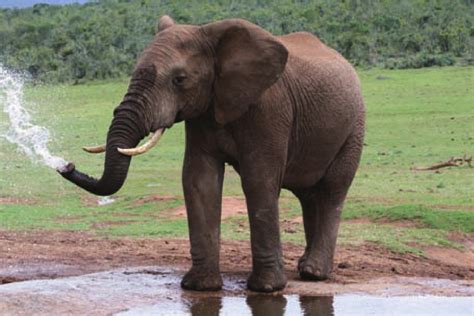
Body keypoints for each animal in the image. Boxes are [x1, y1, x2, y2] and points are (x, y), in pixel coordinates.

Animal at [57, 14, 364, 292]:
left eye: (179, 80)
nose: (66, 165)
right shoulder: (202, 112)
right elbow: (198, 180)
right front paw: (200, 287)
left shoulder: (269, 110)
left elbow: (259, 181)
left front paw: (266, 288)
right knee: (309, 196)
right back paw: (304, 266)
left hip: (354, 127)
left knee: (332, 191)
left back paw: (313, 273)